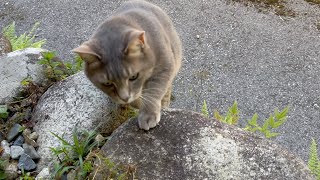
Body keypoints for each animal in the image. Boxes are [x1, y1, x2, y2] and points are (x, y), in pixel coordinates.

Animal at [73, 0, 181, 130]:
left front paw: (148, 114)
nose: (124, 98)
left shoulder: (164, 66)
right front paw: (135, 103)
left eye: (133, 77)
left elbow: (153, 91)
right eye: (108, 83)